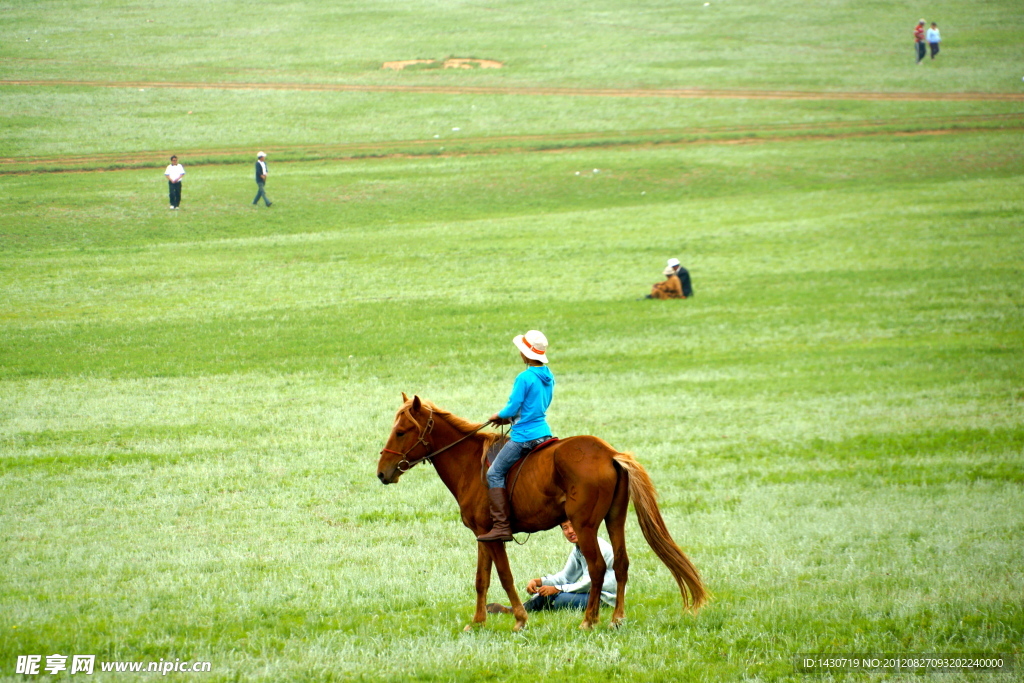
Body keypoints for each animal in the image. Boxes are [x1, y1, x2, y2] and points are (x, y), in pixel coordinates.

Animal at [376, 395, 704, 630]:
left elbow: (505, 576)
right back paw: (616, 619)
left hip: (586, 526)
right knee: (621, 564)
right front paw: (478, 622)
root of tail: (609, 453)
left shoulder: (495, 537)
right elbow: (482, 579)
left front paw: (520, 619)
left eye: (401, 432)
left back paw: (588, 620)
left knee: (598, 568)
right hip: (615, 520)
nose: (382, 473)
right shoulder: (483, 536)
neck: (470, 464)